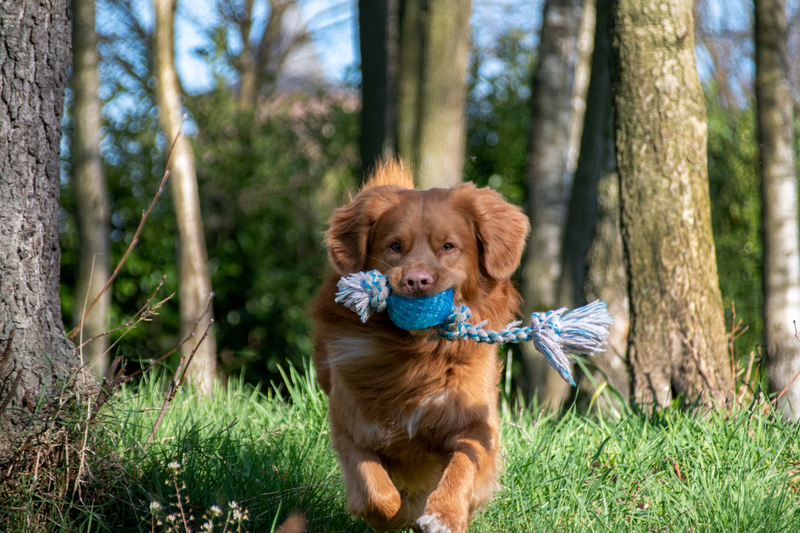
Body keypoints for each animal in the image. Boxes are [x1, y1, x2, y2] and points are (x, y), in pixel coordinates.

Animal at [312, 160, 532, 528]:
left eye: (448, 246)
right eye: (395, 246)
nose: (416, 281)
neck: (418, 356)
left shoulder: (476, 425)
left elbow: (462, 465)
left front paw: (445, 514)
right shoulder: (351, 430)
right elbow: (378, 495)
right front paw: (401, 513)